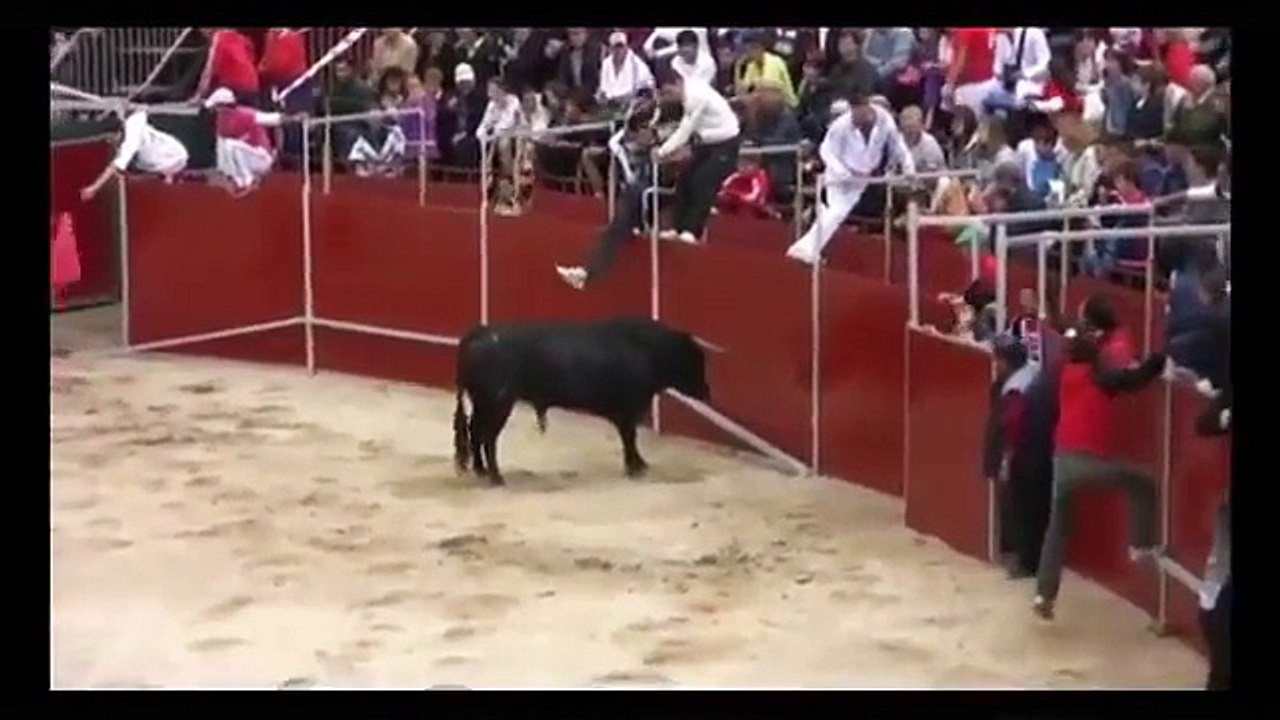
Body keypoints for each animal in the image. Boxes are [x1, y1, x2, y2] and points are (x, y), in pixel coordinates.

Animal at [452, 317, 711, 485]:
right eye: (694, 360)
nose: (707, 392)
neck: (649, 351)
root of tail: (481, 332)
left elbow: (629, 438)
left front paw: (639, 464)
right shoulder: (628, 410)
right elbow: (630, 438)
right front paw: (635, 467)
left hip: (483, 402)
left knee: (475, 431)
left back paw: (480, 470)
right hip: (498, 403)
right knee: (488, 436)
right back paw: (496, 477)